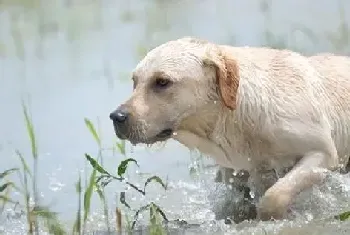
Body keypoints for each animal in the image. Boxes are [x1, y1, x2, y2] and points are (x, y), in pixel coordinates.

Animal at [109, 37, 350, 221]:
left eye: (162, 82)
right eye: (135, 81)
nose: (116, 117)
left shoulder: (323, 153)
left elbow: (272, 198)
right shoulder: (234, 170)